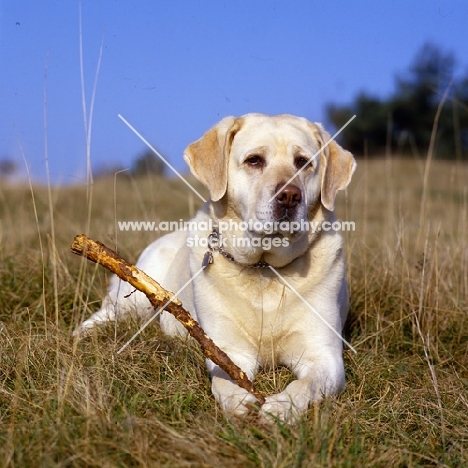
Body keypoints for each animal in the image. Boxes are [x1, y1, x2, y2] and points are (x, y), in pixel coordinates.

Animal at [75, 114, 356, 424]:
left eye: (304, 162)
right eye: (254, 160)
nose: (290, 196)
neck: (264, 267)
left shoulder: (324, 356)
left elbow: (304, 385)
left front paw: (282, 407)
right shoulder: (228, 349)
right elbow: (225, 380)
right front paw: (239, 402)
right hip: (135, 298)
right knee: (104, 314)